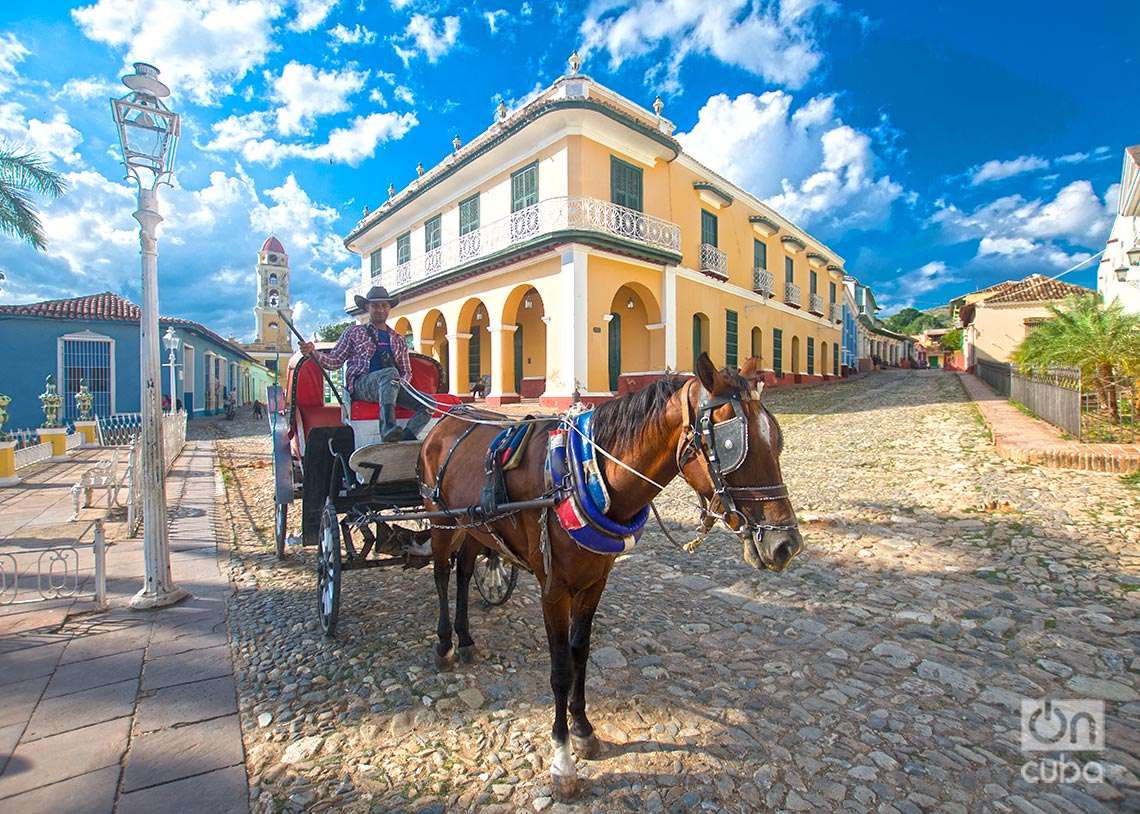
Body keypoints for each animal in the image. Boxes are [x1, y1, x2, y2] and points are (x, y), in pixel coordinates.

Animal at [417, 351, 802, 798]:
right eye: (730, 445)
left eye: (776, 439)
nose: (786, 544)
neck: (583, 473)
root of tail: (447, 419)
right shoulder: (553, 588)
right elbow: (560, 669)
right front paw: (562, 761)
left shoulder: (594, 582)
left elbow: (580, 652)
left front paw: (584, 731)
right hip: (441, 519)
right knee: (442, 574)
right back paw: (444, 644)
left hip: (476, 526)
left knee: (464, 572)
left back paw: (465, 640)